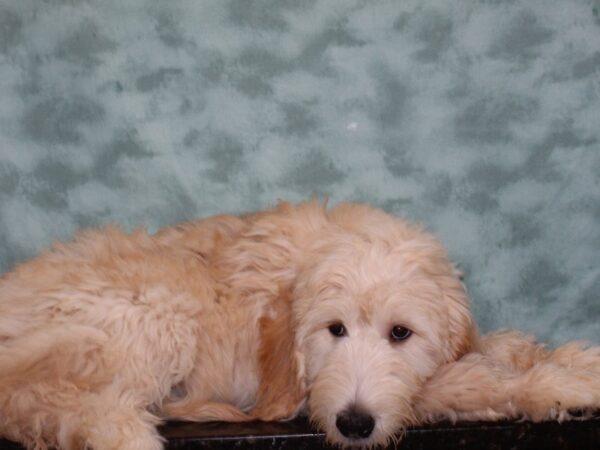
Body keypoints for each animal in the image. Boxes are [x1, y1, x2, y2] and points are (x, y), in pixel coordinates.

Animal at [1, 201, 600, 450]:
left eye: (400, 333)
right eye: (334, 330)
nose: (354, 425)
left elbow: (493, 348)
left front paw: (566, 359)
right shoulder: (319, 397)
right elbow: (466, 381)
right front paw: (560, 385)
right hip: (159, 306)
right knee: (31, 401)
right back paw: (119, 431)